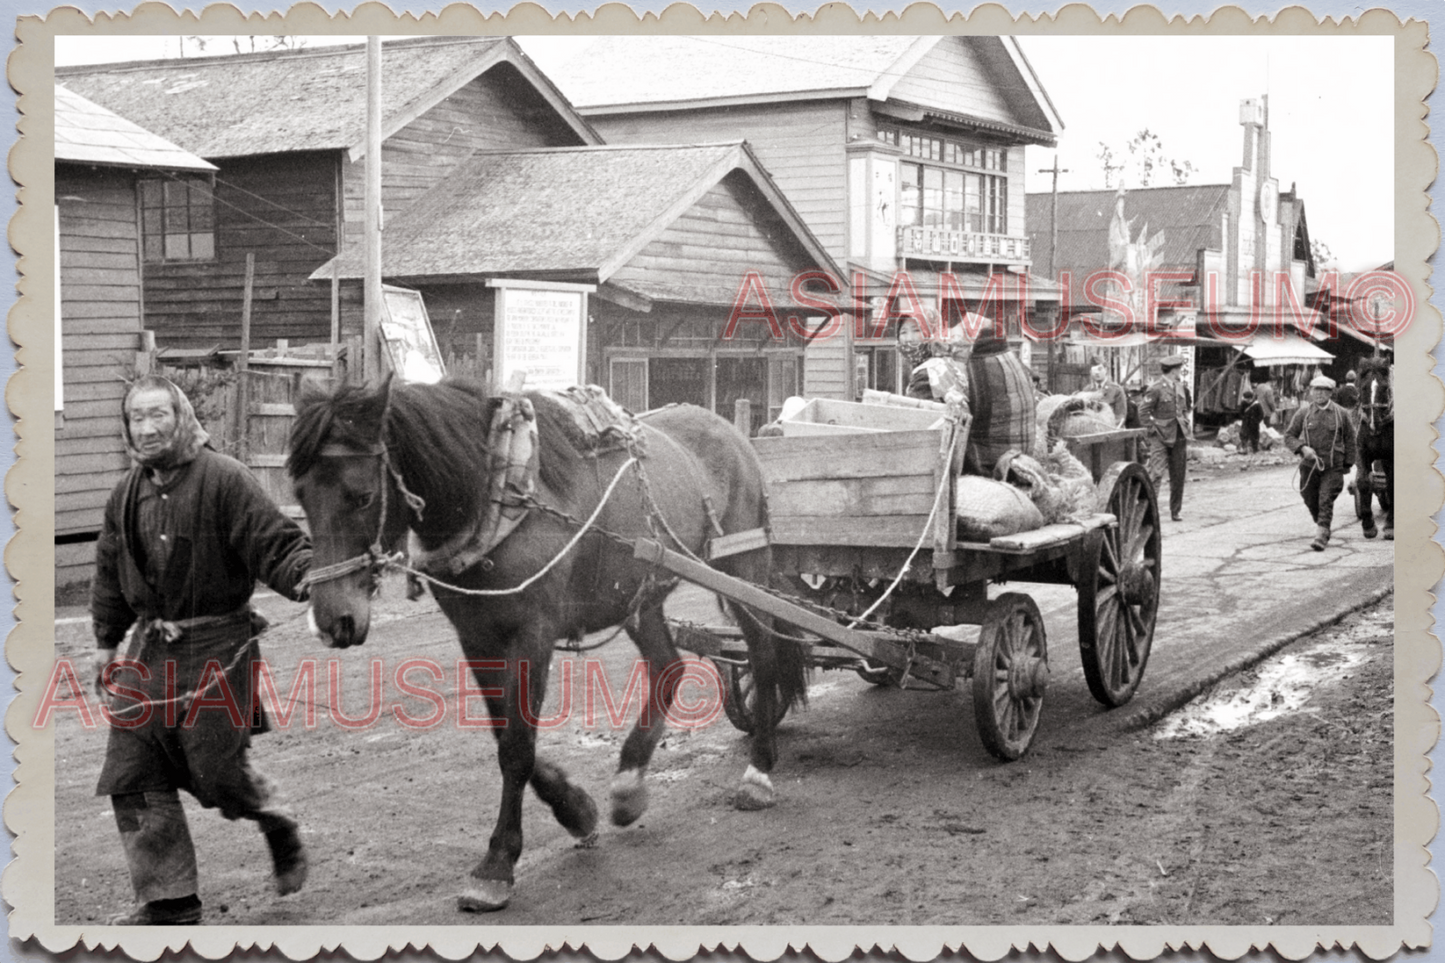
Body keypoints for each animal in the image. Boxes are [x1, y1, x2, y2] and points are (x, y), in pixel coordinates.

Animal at [287, 375, 809, 908]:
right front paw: (575, 810)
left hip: (742, 567)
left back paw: (759, 771)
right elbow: (506, 737)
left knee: (763, 655)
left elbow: (517, 746)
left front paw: (497, 862)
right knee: (668, 667)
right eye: (300, 494)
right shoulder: (476, 636)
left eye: (361, 496)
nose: (332, 620)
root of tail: (731, 430)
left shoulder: (532, 634)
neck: (494, 491)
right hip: (639, 591)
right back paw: (629, 782)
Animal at [1346, 355, 1392, 535]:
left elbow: (1392, 482)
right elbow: (1363, 482)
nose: (1374, 422)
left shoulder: (1390, 456)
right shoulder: (1361, 452)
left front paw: (1390, 526)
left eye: (1385, 387)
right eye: (1364, 387)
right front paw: (1368, 525)